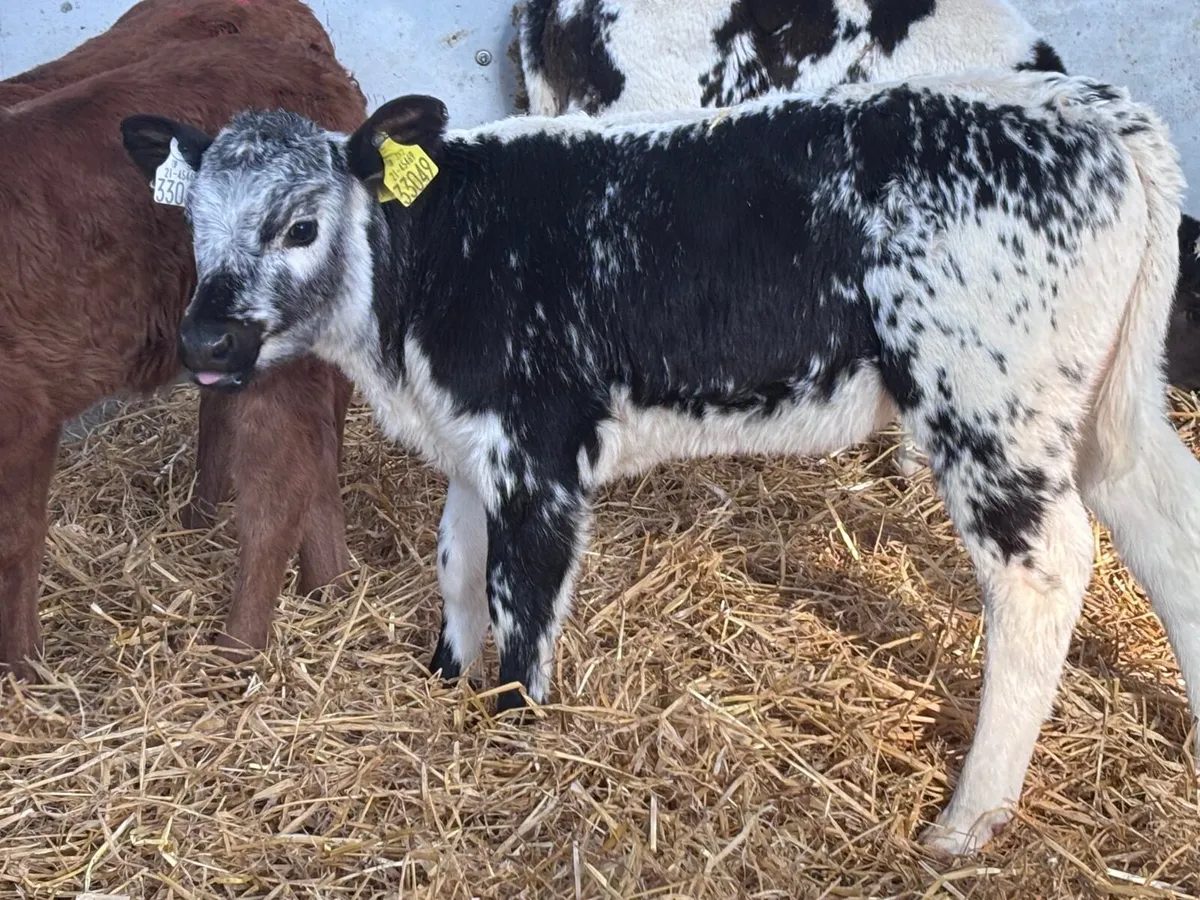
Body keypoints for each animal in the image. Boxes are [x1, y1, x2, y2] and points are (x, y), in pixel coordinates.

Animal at [0, 17, 365, 682]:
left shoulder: (22, 408)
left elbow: (13, 544)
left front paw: (22, 673)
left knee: (281, 478)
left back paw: (237, 650)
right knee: (311, 452)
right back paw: (329, 589)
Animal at [122, 69, 1199, 855]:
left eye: (300, 225)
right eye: (192, 222)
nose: (205, 342)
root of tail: (1076, 102)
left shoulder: (540, 449)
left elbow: (520, 593)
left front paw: (512, 728)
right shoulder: (473, 442)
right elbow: (456, 561)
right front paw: (444, 679)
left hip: (988, 404)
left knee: (1046, 571)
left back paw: (968, 819)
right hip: (1100, 405)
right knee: (1165, 519)